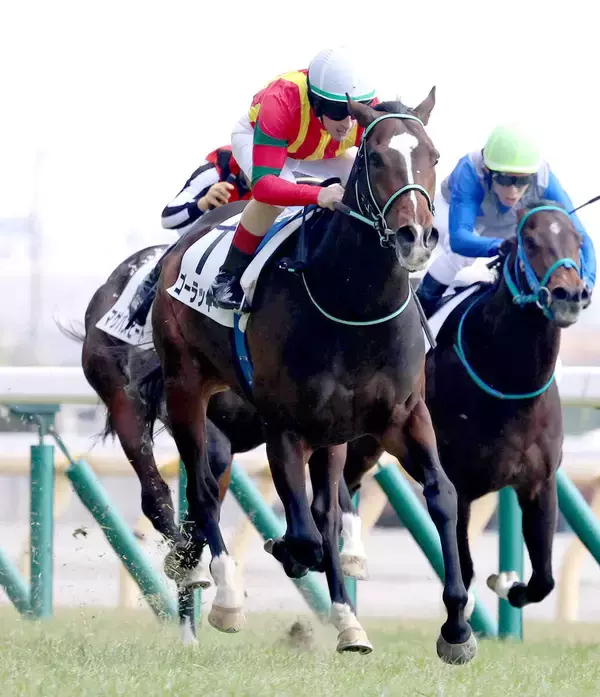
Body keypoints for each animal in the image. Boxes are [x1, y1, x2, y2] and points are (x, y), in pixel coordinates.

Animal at [144, 91, 478, 663]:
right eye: (374, 158)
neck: (352, 305)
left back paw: (348, 622)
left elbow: (440, 495)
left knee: (322, 515)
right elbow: (302, 535)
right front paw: (280, 552)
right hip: (185, 387)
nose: (416, 236)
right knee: (208, 488)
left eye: (433, 156)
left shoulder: (401, 417)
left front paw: (456, 626)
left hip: (330, 433)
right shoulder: (286, 426)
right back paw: (225, 595)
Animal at [341, 201, 590, 618]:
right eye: (530, 240)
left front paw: (507, 584)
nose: (568, 295)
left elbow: (543, 579)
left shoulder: (539, 483)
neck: (509, 387)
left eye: (577, 239)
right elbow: (465, 566)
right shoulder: (458, 484)